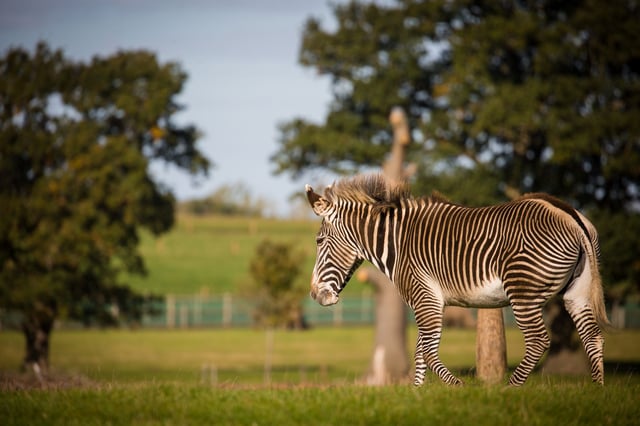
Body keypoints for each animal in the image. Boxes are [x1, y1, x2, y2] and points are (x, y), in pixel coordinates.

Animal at [305, 173, 609, 386]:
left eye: (319, 241)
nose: (314, 295)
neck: (397, 242)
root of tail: (569, 213)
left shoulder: (423, 296)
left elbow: (427, 351)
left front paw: (458, 387)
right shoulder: (429, 300)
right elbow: (420, 350)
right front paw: (418, 395)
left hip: (522, 291)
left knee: (538, 340)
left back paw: (508, 390)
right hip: (577, 291)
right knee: (592, 336)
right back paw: (597, 389)